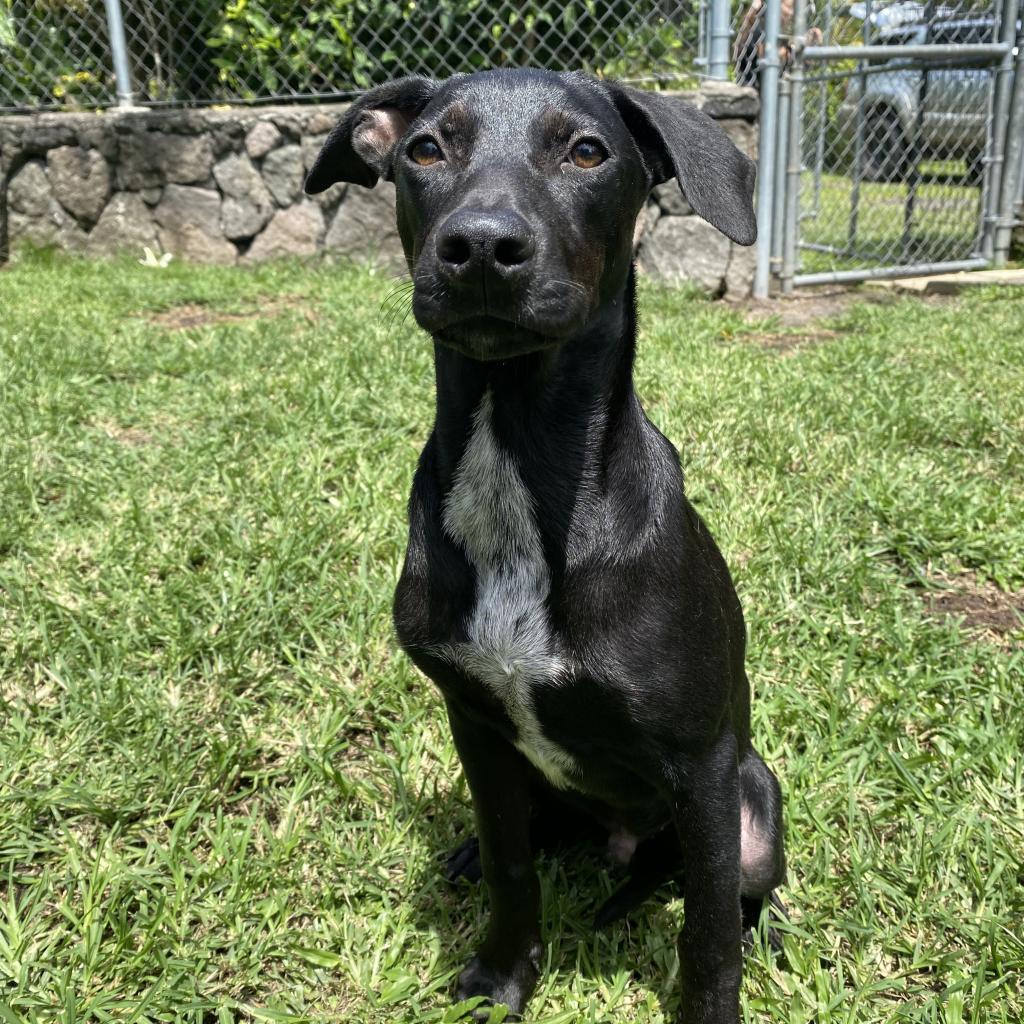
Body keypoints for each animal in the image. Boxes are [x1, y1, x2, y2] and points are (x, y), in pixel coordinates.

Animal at [305, 68, 782, 1019]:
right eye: (426, 149)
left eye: (587, 152)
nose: (482, 247)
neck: (517, 452)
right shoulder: (477, 727)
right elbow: (510, 865)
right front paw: (502, 976)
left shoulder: (704, 765)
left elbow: (708, 929)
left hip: (757, 799)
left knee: (743, 891)